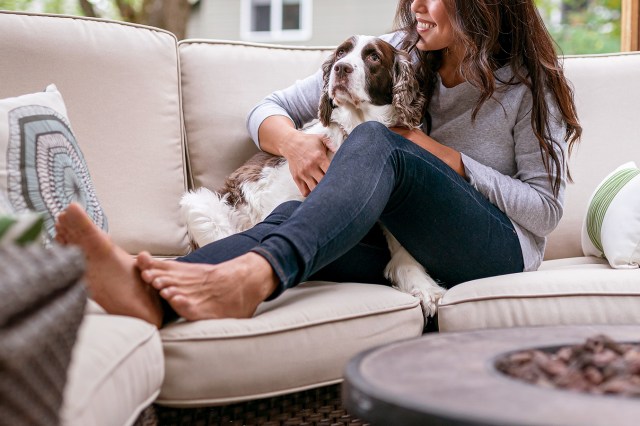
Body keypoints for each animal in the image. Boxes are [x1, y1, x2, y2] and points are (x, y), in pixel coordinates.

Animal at [179, 35, 444, 318]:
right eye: (341, 52)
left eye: (374, 57)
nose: (341, 68)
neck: (355, 127)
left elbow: (403, 248)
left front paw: (424, 287)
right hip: (200, 204)